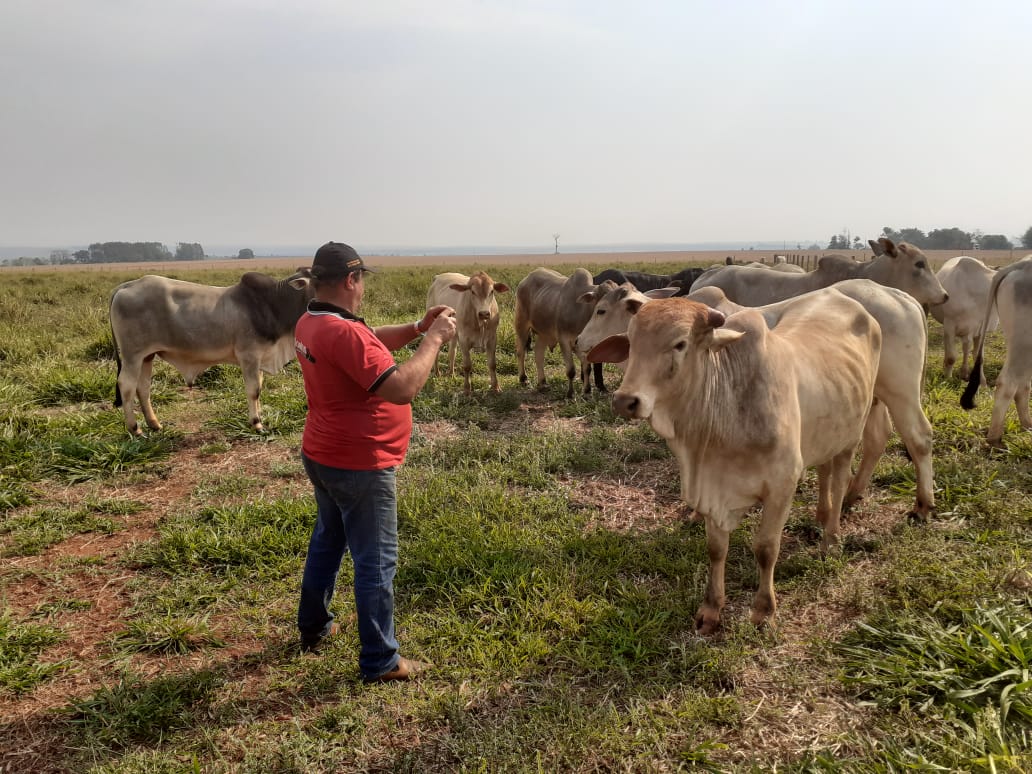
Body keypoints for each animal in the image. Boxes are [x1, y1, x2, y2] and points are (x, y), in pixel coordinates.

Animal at [109, 269, 314, 435]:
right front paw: (256, 423)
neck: (272, 304)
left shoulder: (260, 358)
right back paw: (135, 429)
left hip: (146, 356)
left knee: (143, 388)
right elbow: (253, 390)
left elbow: (259, 388)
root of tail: (127, 285)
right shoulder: (249, 356)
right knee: (126, 386)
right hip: (132, 356)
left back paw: (154, 424)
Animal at [514, 267, 614, 398]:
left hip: (544, 333)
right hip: (521, 325)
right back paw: (523, 378)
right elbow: (571, 370)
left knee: (539, 354)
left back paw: (543, 382)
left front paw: (587, 391)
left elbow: (587, 367)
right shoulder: (564, 340)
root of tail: (525, 279)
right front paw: (570, 393)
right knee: (521, 352)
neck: (582, 310)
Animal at [577, 279, 935, 521]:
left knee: (919, 437)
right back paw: (851, 495)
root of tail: (902, 297)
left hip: (901, 390)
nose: (580, 341)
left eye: (601, 310)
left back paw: (922, 505)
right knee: (877, 438)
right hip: (869, 398)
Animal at [587, 294, 881, 634]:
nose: (625, 401)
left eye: (680, 344)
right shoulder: (712, 489)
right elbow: (716, 549)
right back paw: (820, 517)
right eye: (632, 341)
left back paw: (830, 540)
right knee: (824, 470)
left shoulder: (782, 487)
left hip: (851, 435)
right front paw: (711, 609)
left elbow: (766, 549)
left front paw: (763, 611)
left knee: (840, 479)